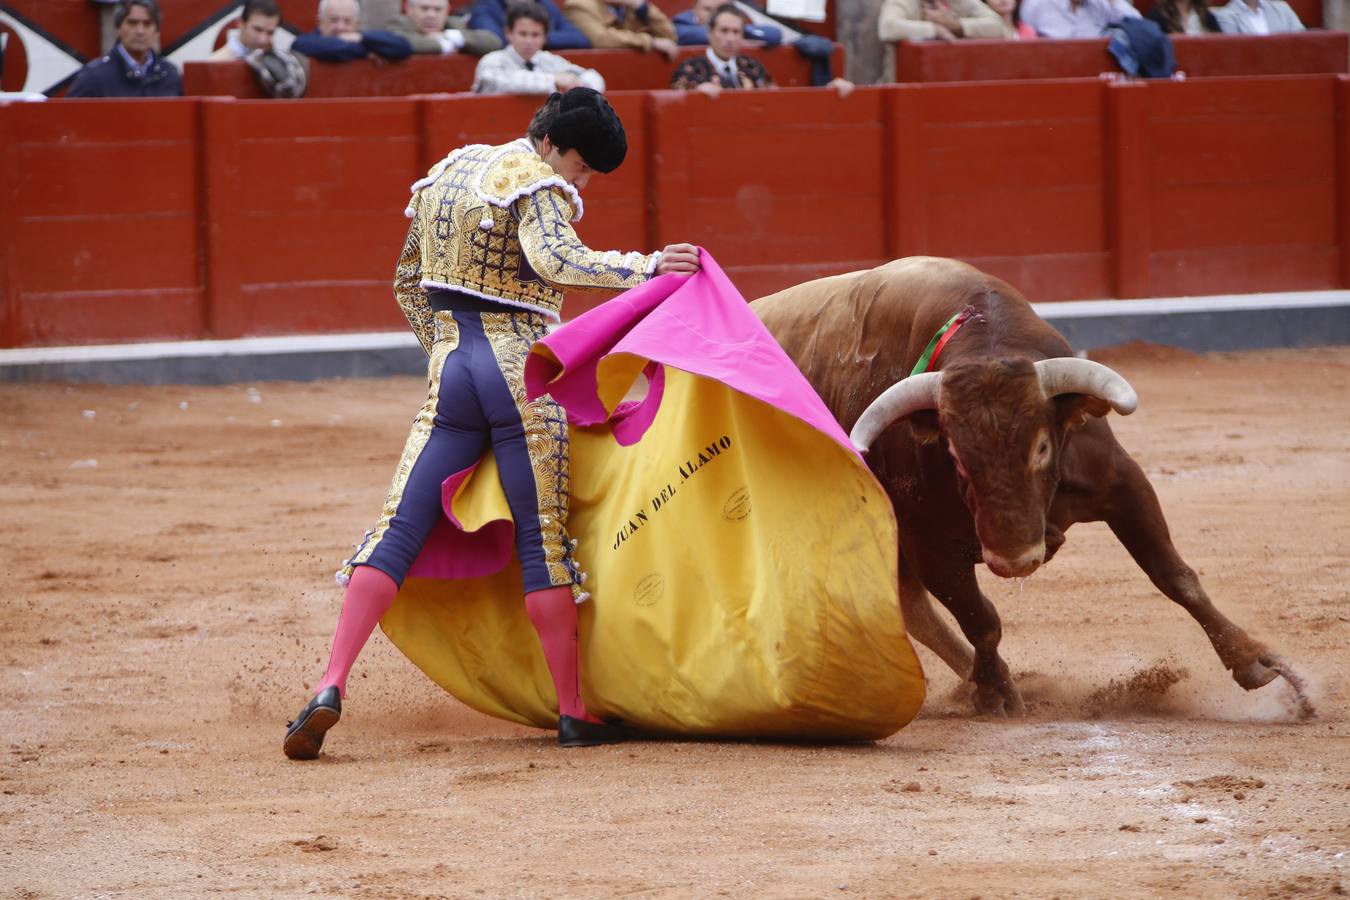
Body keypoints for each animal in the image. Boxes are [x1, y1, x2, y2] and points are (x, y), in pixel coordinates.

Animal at [750, 259, 1306, 717]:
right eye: (955, 455)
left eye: (1041, 446)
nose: (1017, 561)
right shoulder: (931, 545)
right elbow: (982, 618)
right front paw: (995, 693)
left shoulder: (1122, 484)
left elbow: (1175, 576)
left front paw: (1258, 667)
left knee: (908, 606)